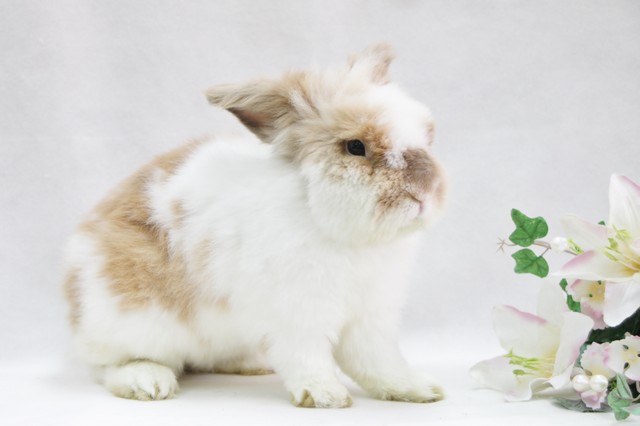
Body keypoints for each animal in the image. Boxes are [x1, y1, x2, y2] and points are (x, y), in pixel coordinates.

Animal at [63, 43, 447, 408]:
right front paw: (325, 395)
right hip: (132, 320)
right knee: (107, 366)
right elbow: (307, 357)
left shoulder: (371, 316)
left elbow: (377, 362)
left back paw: (250, 365)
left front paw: (418, 389)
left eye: (427, 135)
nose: (425, 194)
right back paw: (148, 382)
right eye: (355, 146)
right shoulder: (296, 313)